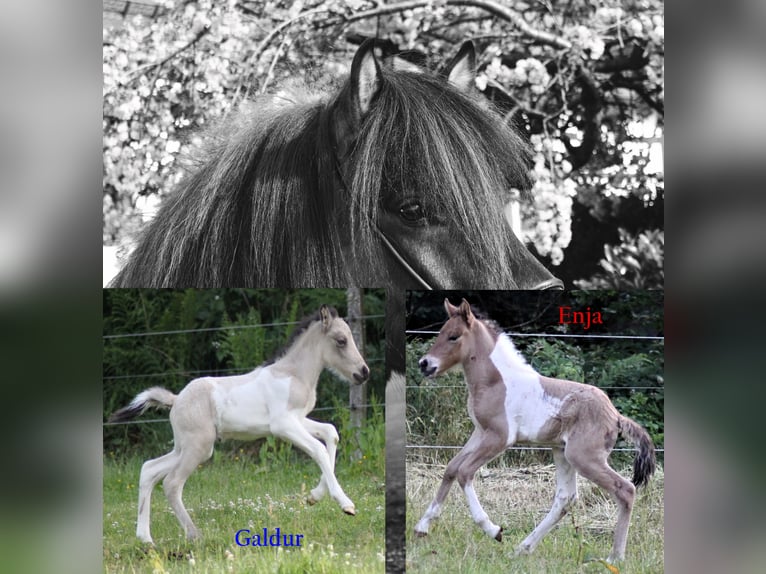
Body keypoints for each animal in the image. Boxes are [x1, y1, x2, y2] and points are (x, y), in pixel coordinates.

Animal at [108, 305, 370, 545]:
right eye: (341, 341)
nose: (363, 373)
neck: (292, 375)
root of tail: (176, 399)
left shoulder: (298, 418)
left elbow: (331, 434)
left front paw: (314, 496)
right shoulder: (282, 424)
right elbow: (318, 449)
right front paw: (346, 504)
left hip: (185, 447)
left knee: (149, 469)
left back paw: (146, 539)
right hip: (198, 447)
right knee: (171, 483)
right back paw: (193, 535)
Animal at [414, 299, 656, 563]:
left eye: (454, 336)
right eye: (441, 332)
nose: (425, 364)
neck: (496, 382)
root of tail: (615, 416)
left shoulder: (499, 438)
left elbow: (464, 472)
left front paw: (494, 530)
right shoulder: (479, 432)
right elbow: (451, 469)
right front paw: (422, 527)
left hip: (583, 457)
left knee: (625, 489)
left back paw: (614, 558)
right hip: (562, 453)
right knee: (565, 498)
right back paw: (522, 548)